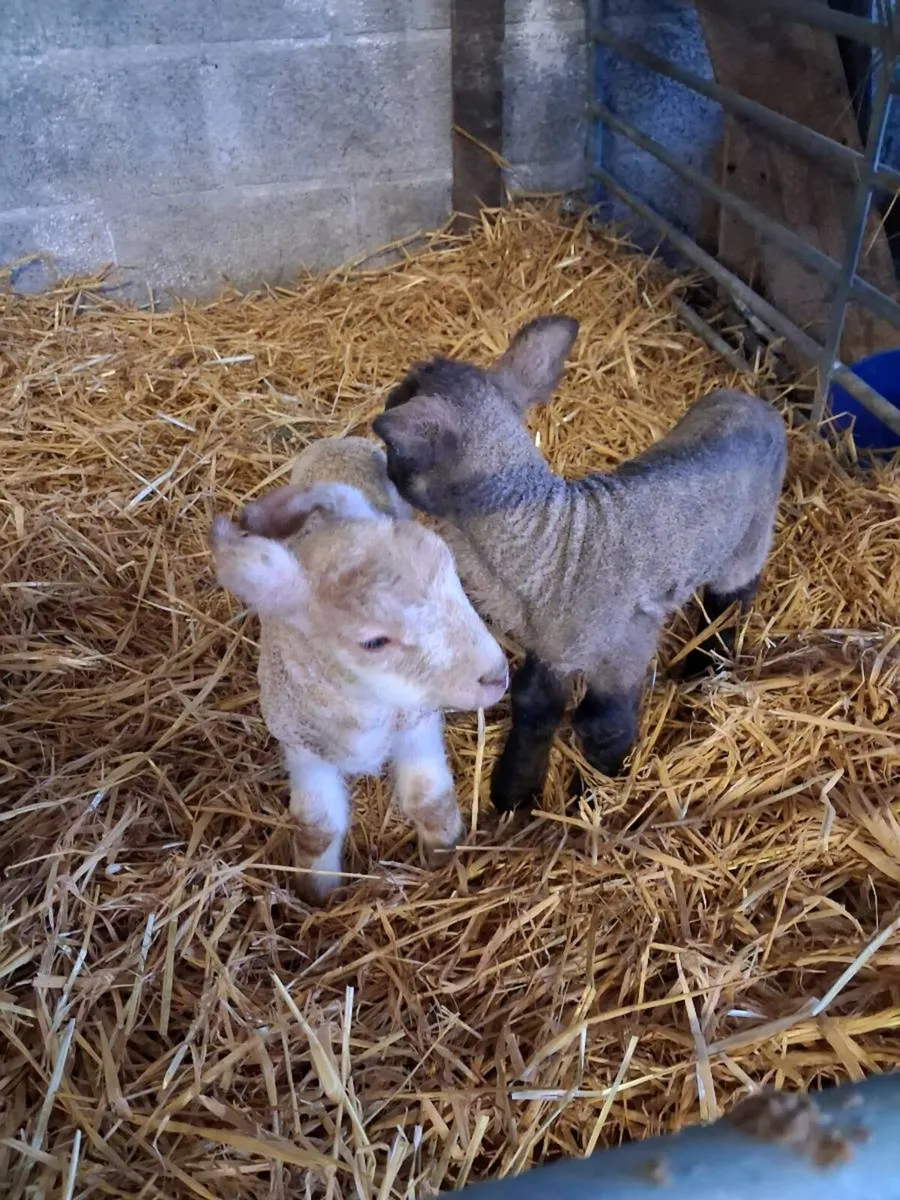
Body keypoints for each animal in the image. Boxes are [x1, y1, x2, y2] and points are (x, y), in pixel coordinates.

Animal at [208, 436, 509, 901]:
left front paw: (444, 855)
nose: (496, 674)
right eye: (373, 641)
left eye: (453, 577)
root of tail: (338, 440)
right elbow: (316, 827)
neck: (366, 707)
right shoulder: (302, 743)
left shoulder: (415, 718)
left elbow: (429, 800)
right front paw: (317, 891)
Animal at [372, 316, 788, 814]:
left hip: (752, 534)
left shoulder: (627, 643)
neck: (555, 543)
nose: (386, 402)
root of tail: (755, 403)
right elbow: (534, 704)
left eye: (396, 450)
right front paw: (515, 791)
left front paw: (599, 789)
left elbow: (602, 723)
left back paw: (708, 664)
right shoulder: (550, 649)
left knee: (733, 596)